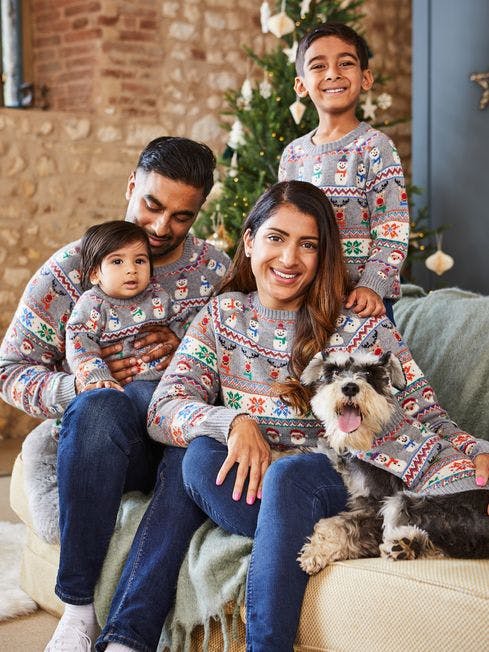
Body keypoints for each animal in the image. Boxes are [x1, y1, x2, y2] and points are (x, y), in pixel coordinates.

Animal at [298, 352, 488, 576]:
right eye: (334, 371)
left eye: (370, 373)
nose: (350, 387)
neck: (374, 431)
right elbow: (324, 450)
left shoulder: (376, 503)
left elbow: (343, 527)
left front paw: (315, 552)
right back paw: (405, 545)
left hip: (405, 503)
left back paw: (405, 545)